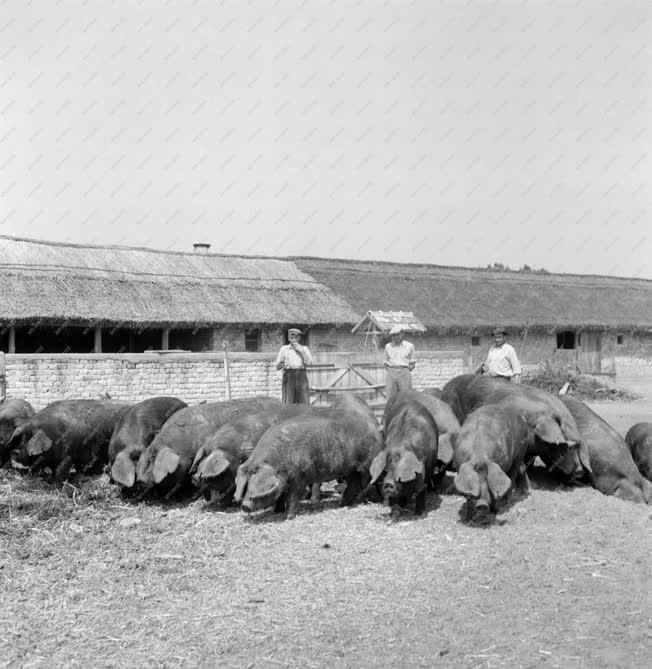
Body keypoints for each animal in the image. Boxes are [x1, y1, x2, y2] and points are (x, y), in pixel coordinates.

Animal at [233, 410, 382, 520]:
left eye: (254, 481)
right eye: (246, 485)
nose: (244, 506)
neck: (279, 463)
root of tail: (377, 433)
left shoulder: (299, 477)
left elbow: (293, 497)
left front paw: (289, 517)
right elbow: (280, 495)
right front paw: (277, 512)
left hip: (366, 465)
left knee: (368, 481)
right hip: (351, 470)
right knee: (354, 484)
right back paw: (343, 504)